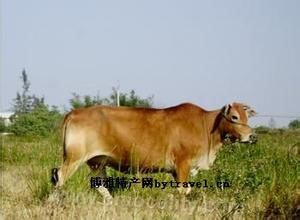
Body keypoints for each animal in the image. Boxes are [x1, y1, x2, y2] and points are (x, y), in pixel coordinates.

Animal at [51, 102, 255, 197]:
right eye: (234, 117)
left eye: (247, 117)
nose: (252, 136)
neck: (206, 126)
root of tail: (74, 112)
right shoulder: (183, 163)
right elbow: (184, 190)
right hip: (74, 158)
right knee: (60, 177)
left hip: (97, 162)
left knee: (100, 185)